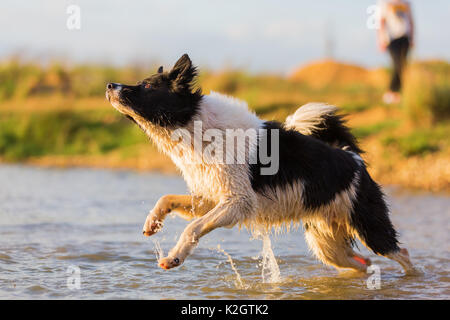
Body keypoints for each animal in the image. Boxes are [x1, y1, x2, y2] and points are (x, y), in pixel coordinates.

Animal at [105, 54, 414, 272]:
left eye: (146, 86)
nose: (109, 85)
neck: (195, 126)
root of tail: (352, 157)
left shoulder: (238, 202)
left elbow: (192, 228)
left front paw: (173, 258)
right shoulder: (211, 197)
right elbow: (166, 198)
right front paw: (152, 223)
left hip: (370, 228)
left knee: (402, 254)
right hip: (327, 245)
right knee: (361, 264)